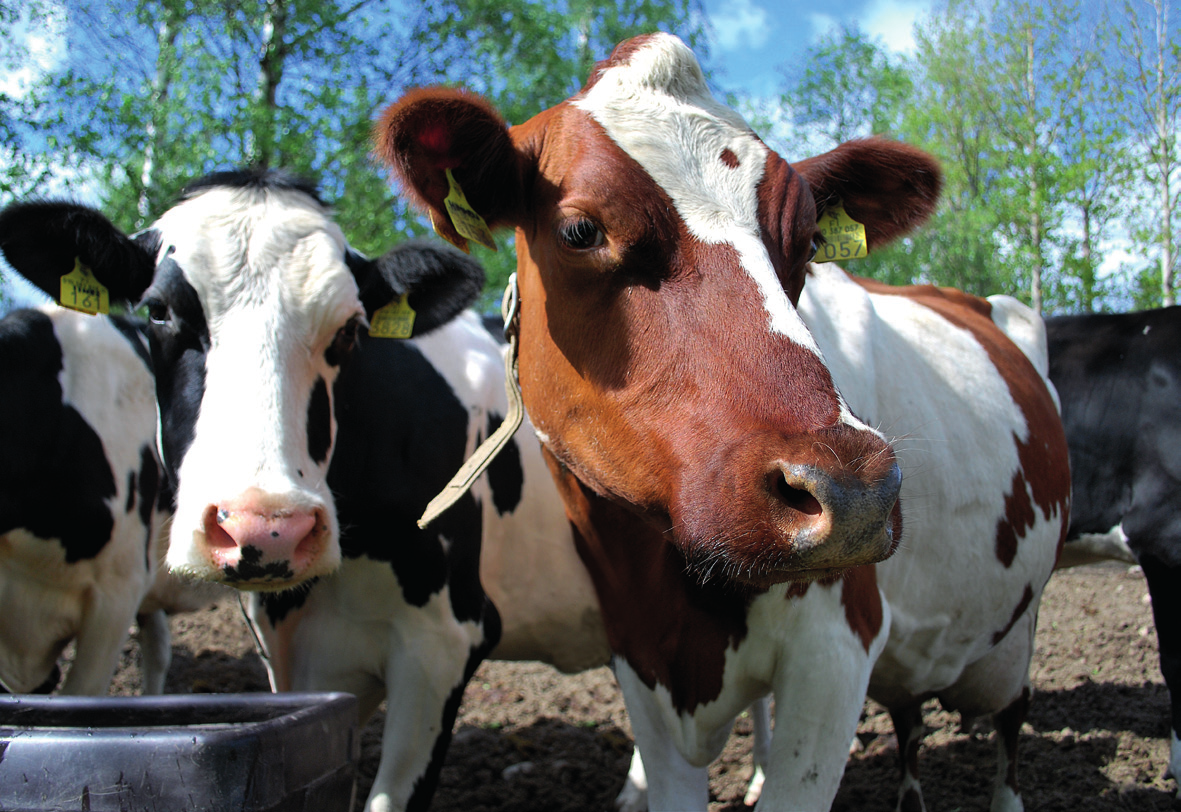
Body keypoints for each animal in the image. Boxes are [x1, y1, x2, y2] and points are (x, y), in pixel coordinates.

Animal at [377, 34, 1072, 812]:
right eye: (580, 230)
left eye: (807, 241)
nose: (853, 492)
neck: (663, 578)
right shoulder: (638, 658)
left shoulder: (836, 650)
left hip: (1023, 619)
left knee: (1011, 717)